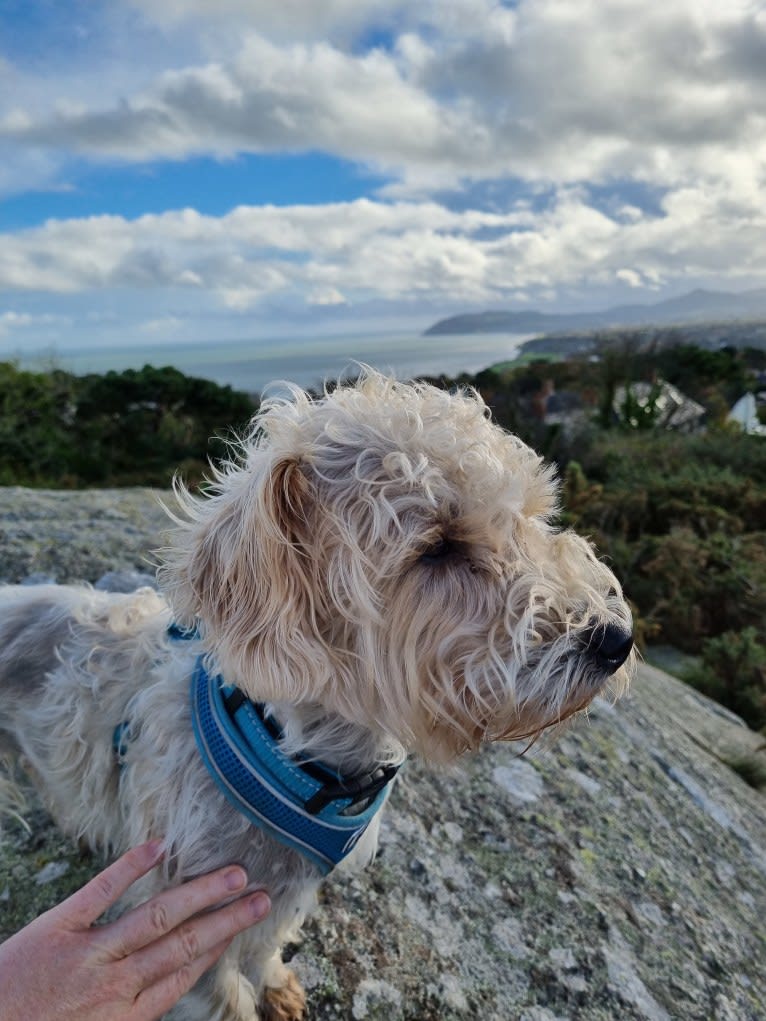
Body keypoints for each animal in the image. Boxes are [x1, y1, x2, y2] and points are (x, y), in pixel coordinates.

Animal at [0, 373, 637, 1021]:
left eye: (531, 516)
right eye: (438, 547)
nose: (616, 639)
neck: (299, 759)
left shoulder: (285, 888)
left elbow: (265, 945)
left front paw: (274, 982)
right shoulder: (188, 913)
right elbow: (225, 994)